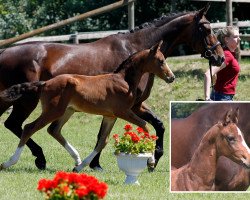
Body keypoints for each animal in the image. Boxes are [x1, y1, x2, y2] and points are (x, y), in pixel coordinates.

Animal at [0, 41, 175, 171]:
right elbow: (145, 126)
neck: (124, 81)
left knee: (54, 130)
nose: (171, 77)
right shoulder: (123, 112)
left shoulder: (110, 116)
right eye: (161, 61)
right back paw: (10, 162)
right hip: (53, 110)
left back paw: (77, 159)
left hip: (67, 111)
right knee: (29, 128)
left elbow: (102, 141)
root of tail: (44, 83)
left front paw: (82, 166)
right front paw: (151, 161)